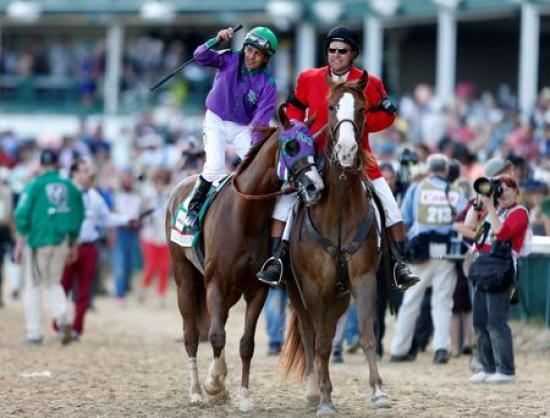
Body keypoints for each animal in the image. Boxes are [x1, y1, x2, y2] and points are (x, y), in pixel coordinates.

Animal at [165, 105, 324, 412]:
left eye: (315, 145)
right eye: (291, 145)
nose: (315, 187)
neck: (244, 215)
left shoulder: (256, 287)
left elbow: (245, 343)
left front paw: (244, 397)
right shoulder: (214, 282)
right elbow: (216, 335)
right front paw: (214, 382)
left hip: (230, 291)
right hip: (185, 278)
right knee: (191, 334)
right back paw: (196, 391)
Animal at [281, 72, 391, 416]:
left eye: (362, 109)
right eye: (331, 107)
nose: (346, 149)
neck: (340, 207)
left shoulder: (363, 278)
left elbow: (367, 334)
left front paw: (378, 391)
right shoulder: (314, 286)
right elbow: (321, 342)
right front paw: (325, 398)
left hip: (339, 295)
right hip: (298, 291)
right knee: (311, 334)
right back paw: (313, 390)